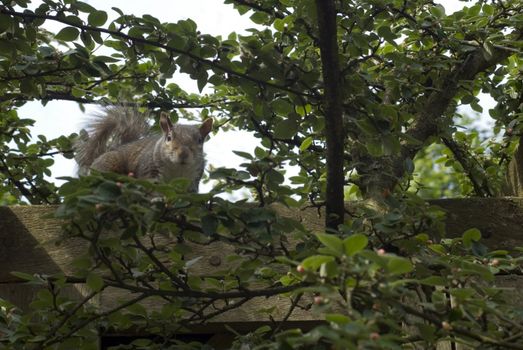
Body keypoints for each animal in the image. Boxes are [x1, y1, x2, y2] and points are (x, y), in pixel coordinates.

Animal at [74, 108, 214, 193]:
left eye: (200, 140)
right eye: (169, 138)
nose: (183, 154)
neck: (178, 168)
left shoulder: (192, 181)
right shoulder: (150, 171)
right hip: (108, 163)